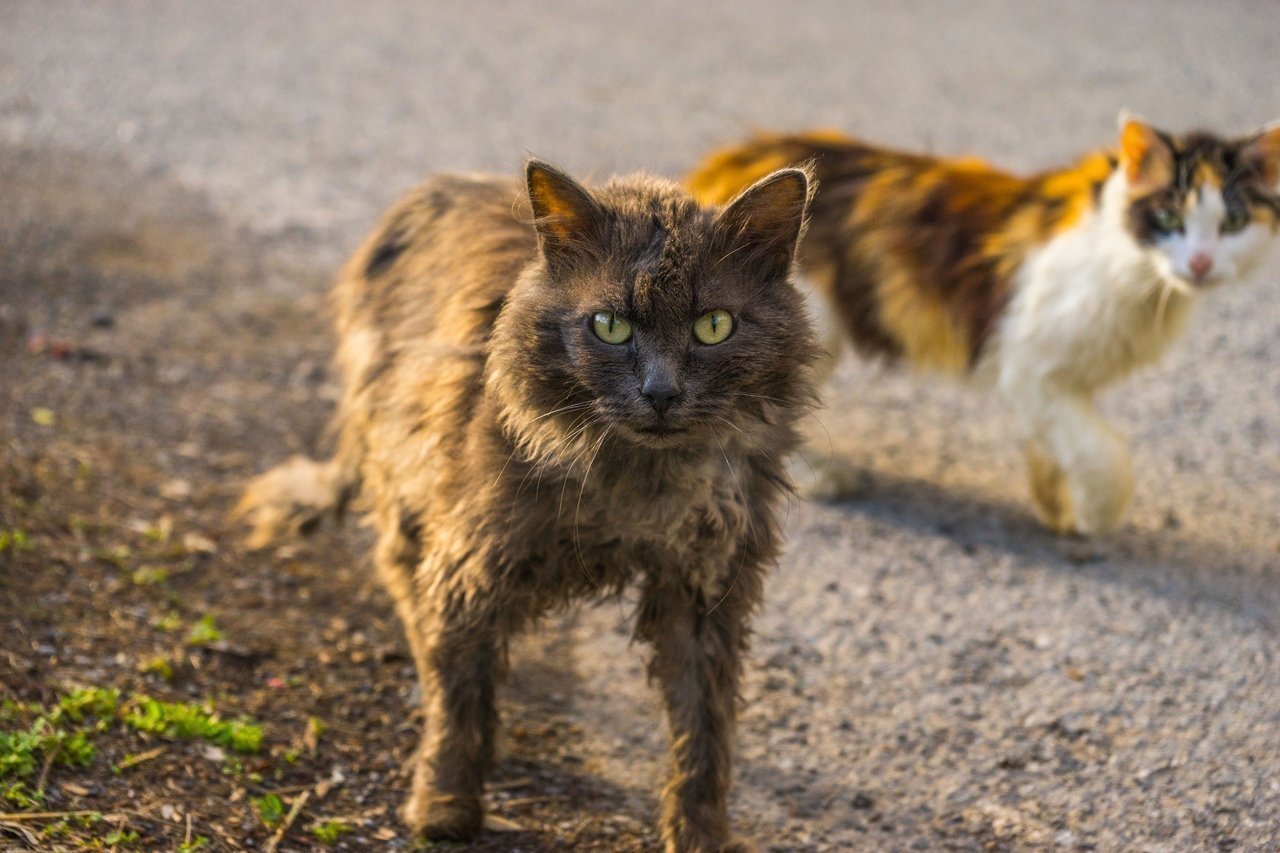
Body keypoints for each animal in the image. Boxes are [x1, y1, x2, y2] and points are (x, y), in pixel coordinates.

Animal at [235, 157, 814, 845]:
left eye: (714, 327)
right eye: (610, 326)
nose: (661, 392)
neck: (639, 483)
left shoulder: (706, 588)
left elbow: (703, 732)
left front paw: (698, 835)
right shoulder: (474, 561)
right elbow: (459, 697)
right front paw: (445, 807)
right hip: (409, 468)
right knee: (409, 591)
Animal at [691, 116, 1280, 535]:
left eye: (1232, 224)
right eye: (1168, 220)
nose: (1200, 263)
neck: (1140, 275)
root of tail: (724, 165)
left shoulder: (1058, 381)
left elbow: (1061, 442)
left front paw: (1055, 505)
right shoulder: (1027, 366)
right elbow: (1103, 455)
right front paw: (1094, 517)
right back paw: (813, 474)